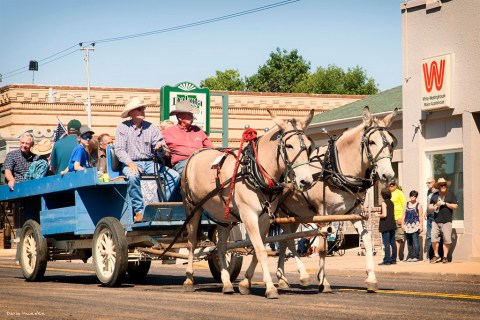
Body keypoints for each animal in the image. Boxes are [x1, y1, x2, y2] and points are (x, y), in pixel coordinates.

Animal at [180, 109, 316, 298]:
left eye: (308, 147)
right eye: (289, 146)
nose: (306, 181)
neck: (254, 171)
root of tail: (195, 154)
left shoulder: (265, 218)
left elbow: (258, 251)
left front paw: (245, 283)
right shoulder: (248, 216)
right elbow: (260, 250)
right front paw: (270, 288)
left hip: (223, 216)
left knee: (221, 247)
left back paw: (227, 283)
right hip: (192, 207)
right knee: (192, 242)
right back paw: (189, 279)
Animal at [270, 105, 398, 292]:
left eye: (390, 142)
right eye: (372, 142)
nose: (387, 175)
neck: (336, 170)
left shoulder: (355, 212)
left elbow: (367, 240)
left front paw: (371, 279)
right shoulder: (323, 214)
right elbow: (323, 248)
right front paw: (324, 282)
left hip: (291, 214)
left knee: (285, 241)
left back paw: (282, 278)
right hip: (280, 212)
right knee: (288, 241)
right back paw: (300, 276)